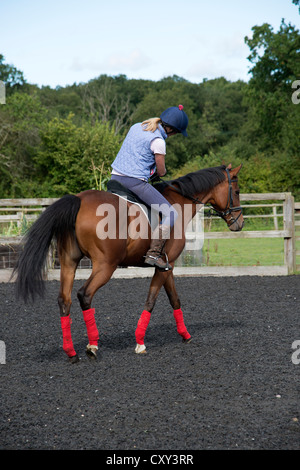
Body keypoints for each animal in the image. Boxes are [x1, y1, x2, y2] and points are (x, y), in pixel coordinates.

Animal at [13, 163, 244, 362]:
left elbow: (174, 299)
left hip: (69, 262)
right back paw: (92, 346)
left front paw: (185, 335)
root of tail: (79, 200)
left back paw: (71, 353)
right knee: (85, 295)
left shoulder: (166, 265)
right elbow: (151, 300)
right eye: (237, 191)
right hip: (106, 266)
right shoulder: (164, 267)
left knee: (65, 300)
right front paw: (140, 342)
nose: (239, 224)